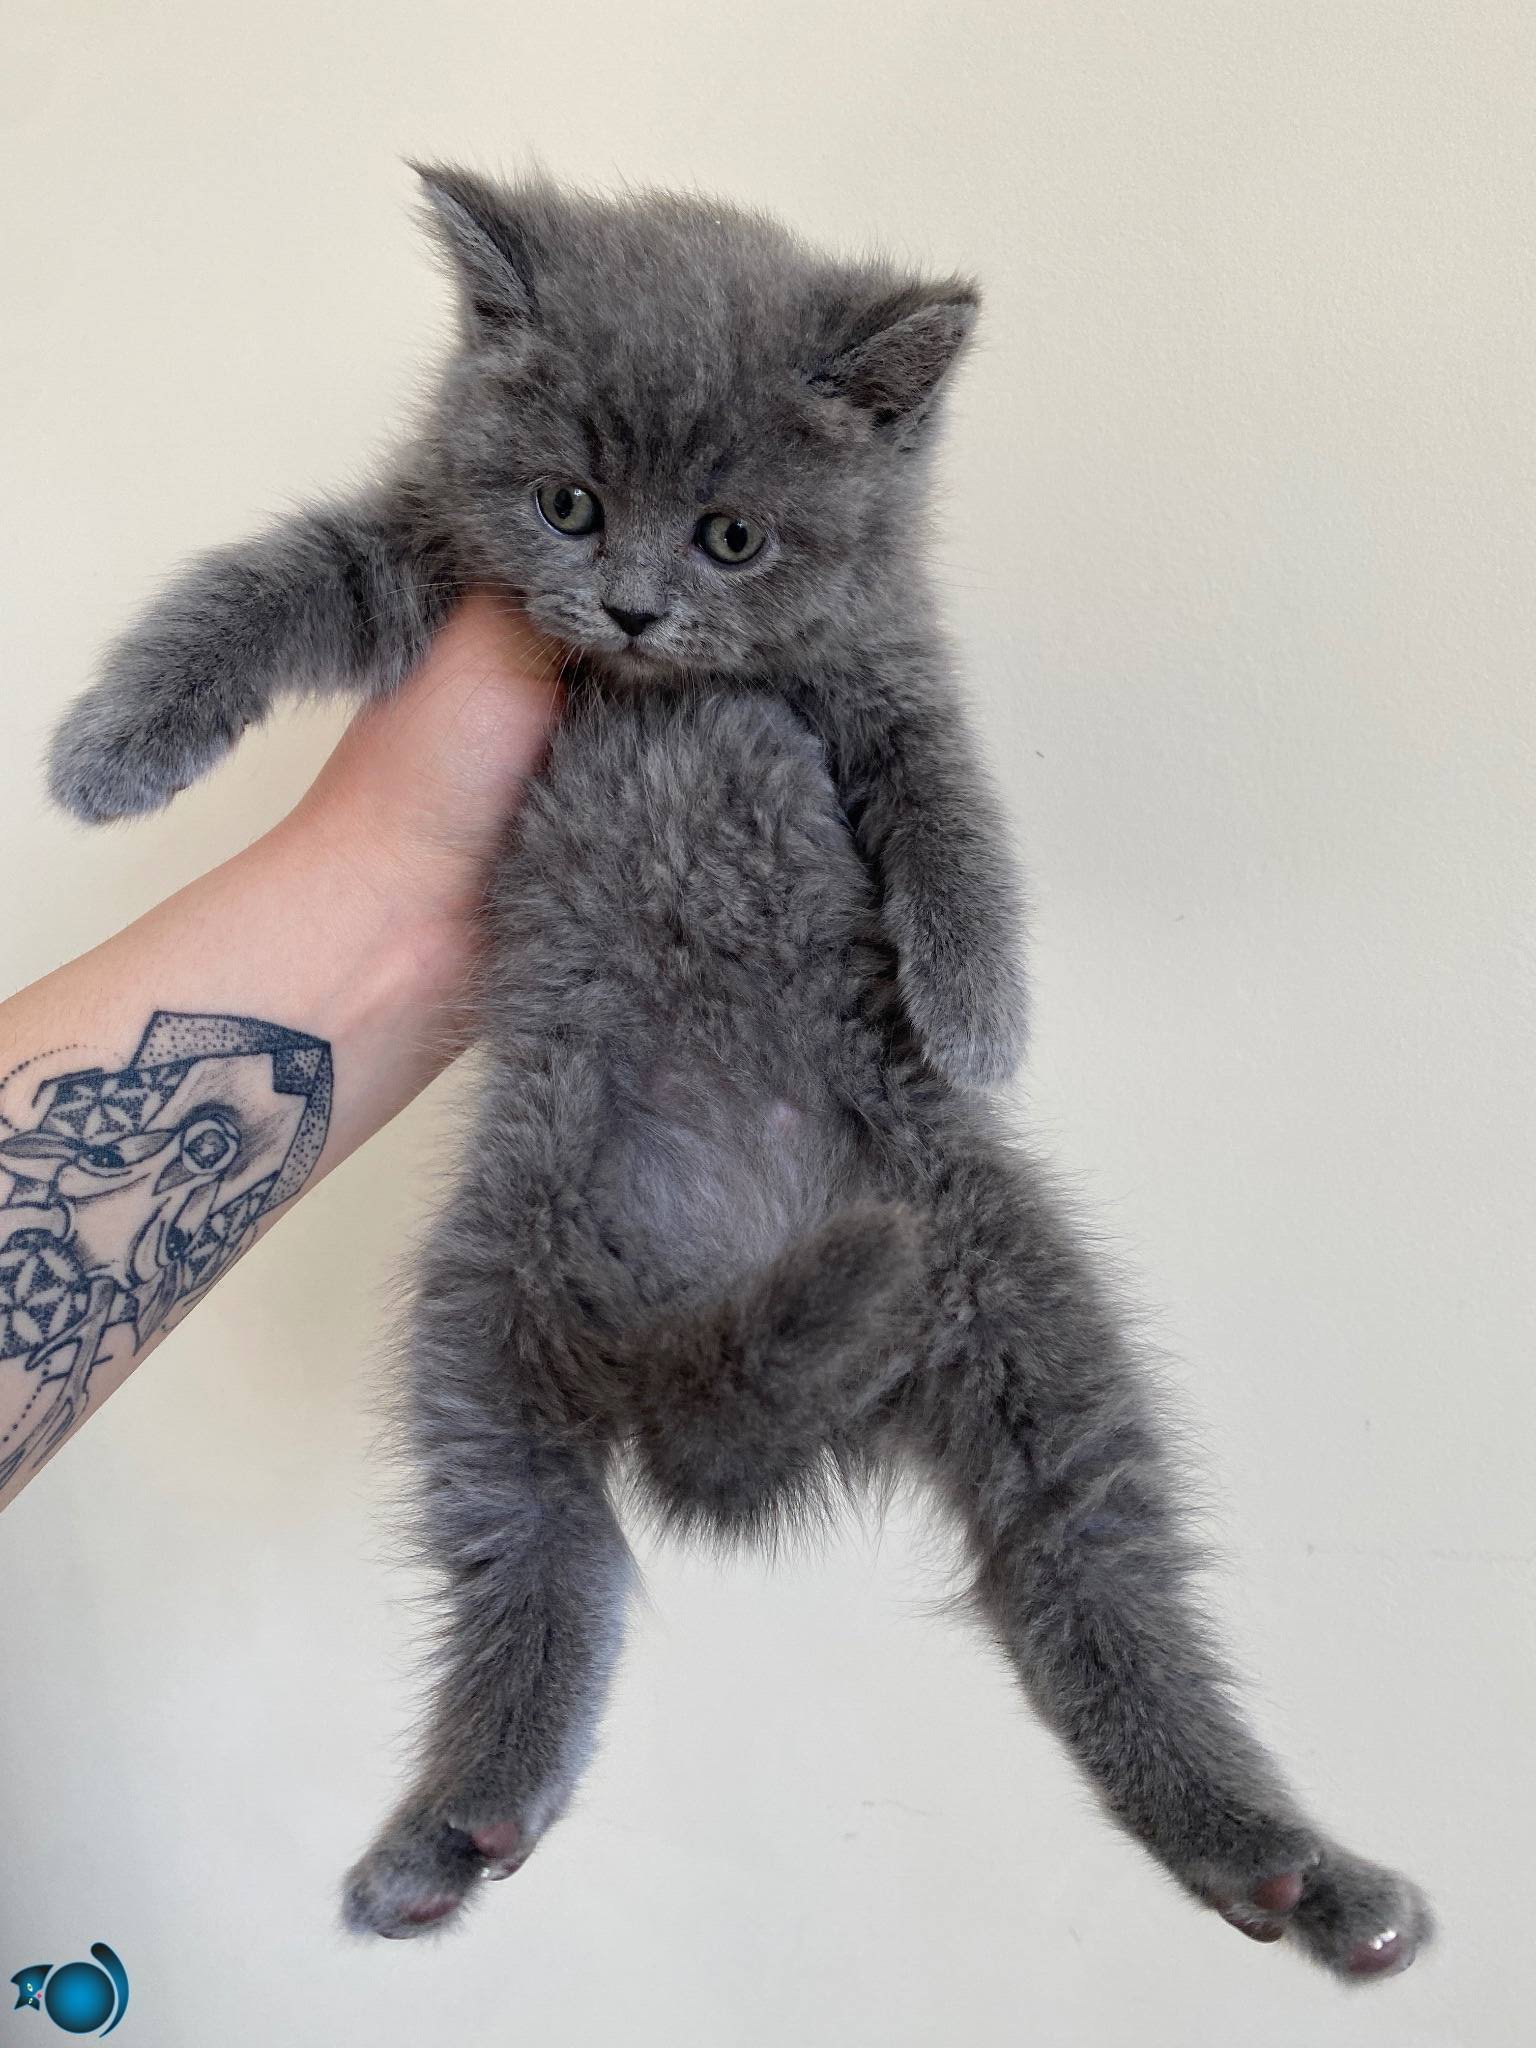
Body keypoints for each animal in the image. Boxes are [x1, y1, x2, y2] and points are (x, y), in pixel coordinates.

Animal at [46, 167, 1431, 1976]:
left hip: (1005, 1300)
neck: (661, 686)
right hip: (485, 1329)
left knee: (1097, 1596)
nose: (633, 604)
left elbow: (948, 807)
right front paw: (111, 749)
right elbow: (275, 577)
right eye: (568, 505)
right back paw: (446, 1838)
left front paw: (976, 1003)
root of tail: (685, 1318)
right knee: (543, 1568)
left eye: (731, 536)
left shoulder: (883, 672)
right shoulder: (428, 552)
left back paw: (1292, 1871)